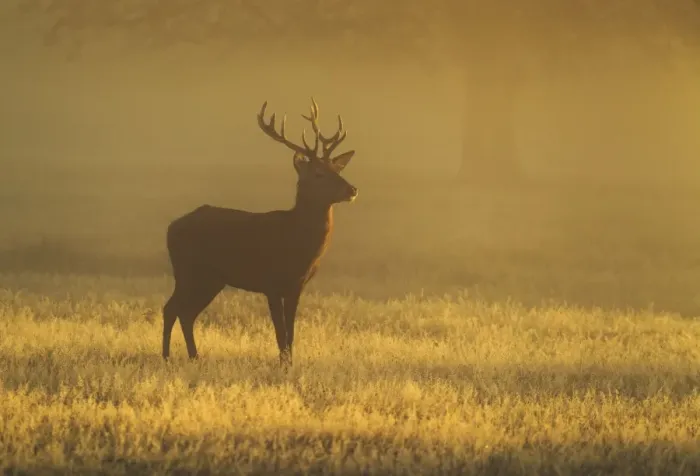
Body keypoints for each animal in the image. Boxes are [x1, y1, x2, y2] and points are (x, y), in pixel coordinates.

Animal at [162, 98, 357, 367]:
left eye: (336, 169)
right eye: (318, 173)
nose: (352, 189)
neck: (297, 241)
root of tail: (171, 228)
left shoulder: (297, 286)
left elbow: (291, 331)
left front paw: (289, 364)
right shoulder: (271, 282)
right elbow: (280, 332)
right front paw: (283, 365)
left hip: (211, 279)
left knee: (186, 312)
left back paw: (193, 356)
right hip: (188, 271)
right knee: (172, 308)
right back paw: (167, 357)